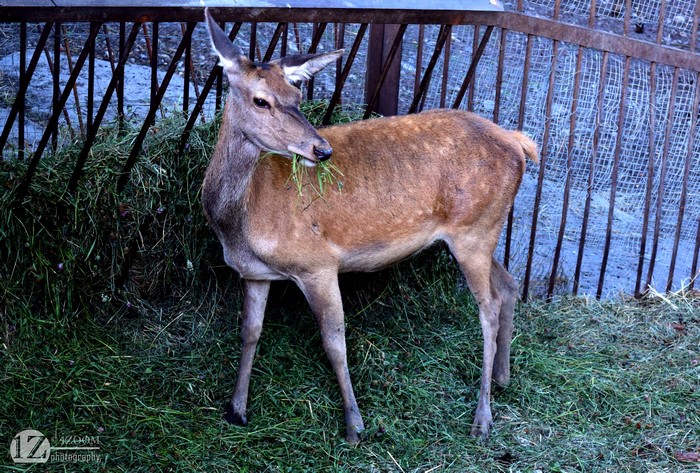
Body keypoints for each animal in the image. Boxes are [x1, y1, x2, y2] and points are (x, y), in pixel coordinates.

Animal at [202, 9, 538, 444]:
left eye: (297, 97)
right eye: (261, 100)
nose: (321, 150)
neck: (241, 223)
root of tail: (519, 142)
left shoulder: (317, 263)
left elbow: (334, 342)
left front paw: (354, 425)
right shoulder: (254, 274)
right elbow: (249, 333)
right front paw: (236, 410)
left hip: (473, 231)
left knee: (489, 306)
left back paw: (482, 417)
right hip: (483, 229)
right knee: (510, 284)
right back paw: (503, 377)